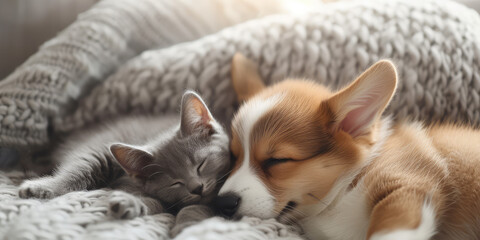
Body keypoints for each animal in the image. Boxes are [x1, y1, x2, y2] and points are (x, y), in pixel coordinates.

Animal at [17, 91, 231, 223]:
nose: (197, 188)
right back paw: (39, 187)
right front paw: (131, 201)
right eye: (175, 182)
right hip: (99, 150)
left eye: (200, 164)